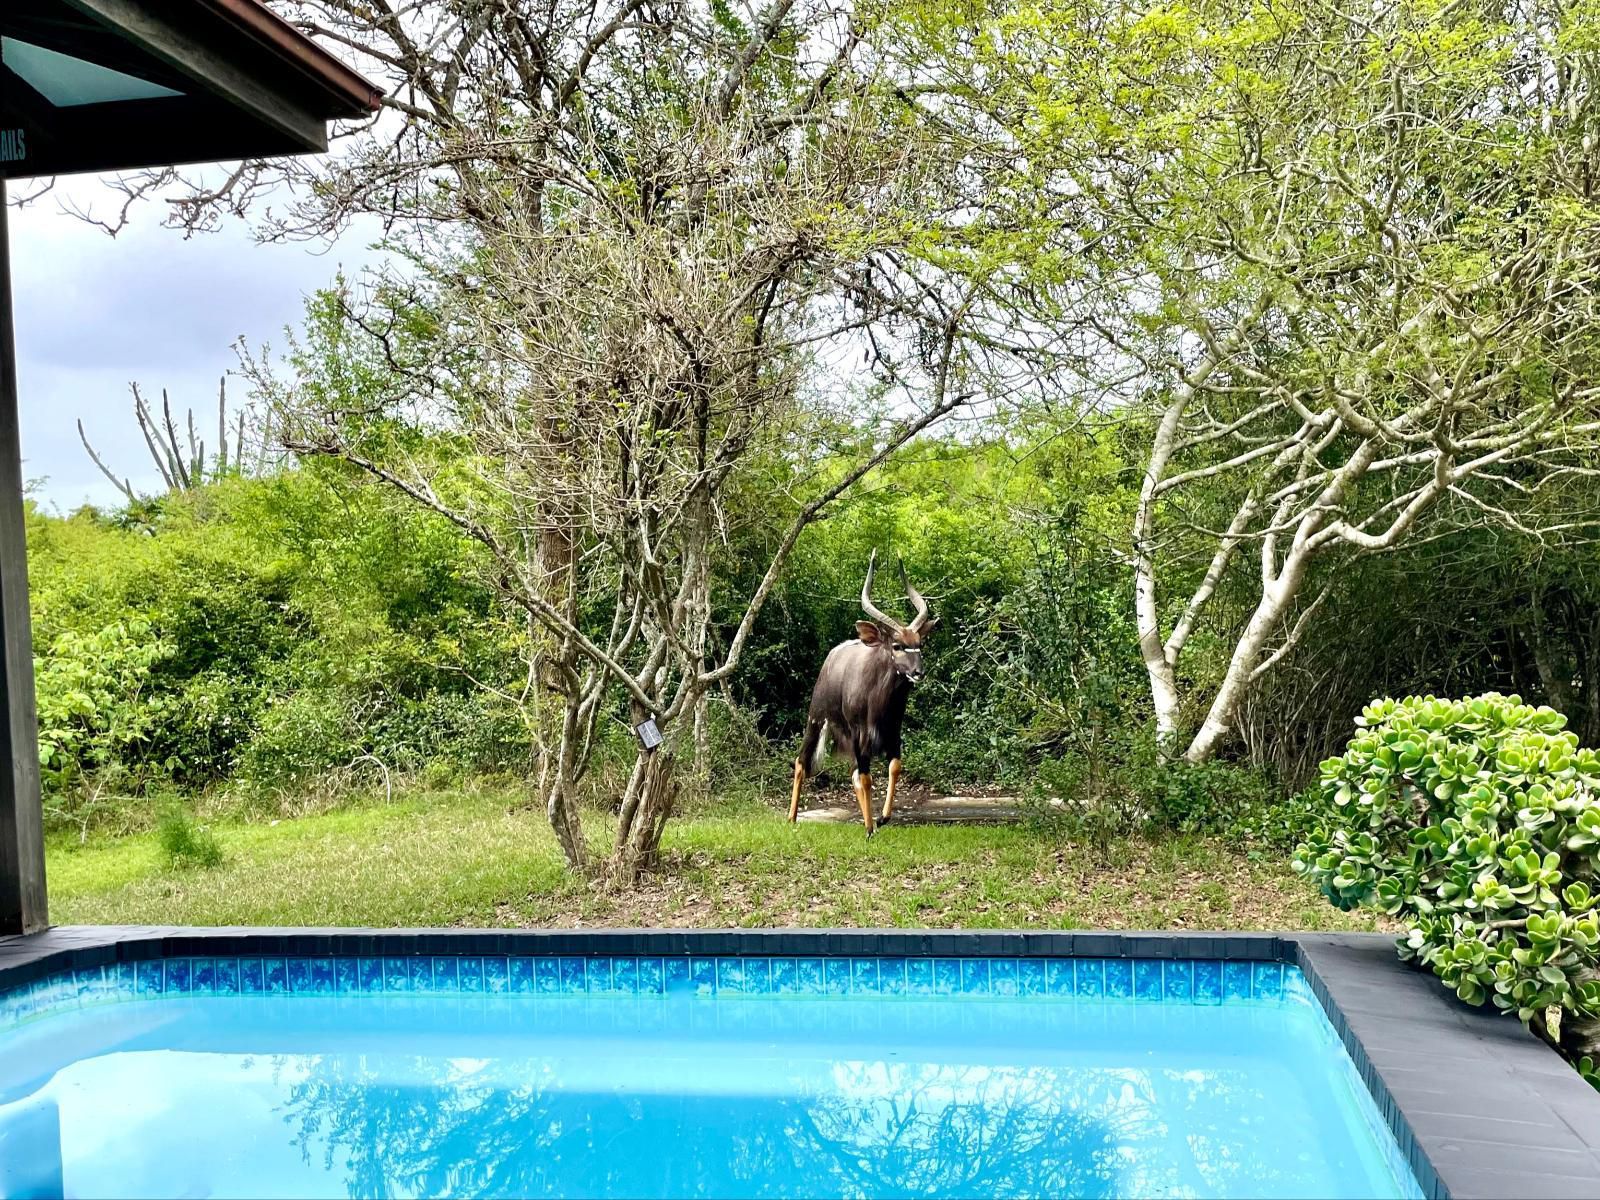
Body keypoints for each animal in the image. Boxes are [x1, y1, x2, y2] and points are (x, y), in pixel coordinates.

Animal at [787, 553, 934, 838]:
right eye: (897, 645)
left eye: (919, 645)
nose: (918, 672)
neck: (878, 701)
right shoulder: (859, 733)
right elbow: (866, 778)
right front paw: (869, 826)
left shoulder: (892, 731)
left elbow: (893, 767)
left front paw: (882, 818)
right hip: (816, 719)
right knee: (801, 762)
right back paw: (791, 818)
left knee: (853, 773)